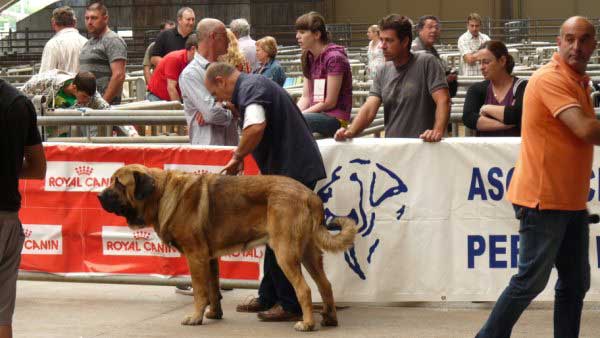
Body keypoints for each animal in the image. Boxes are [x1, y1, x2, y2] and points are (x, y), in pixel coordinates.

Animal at [98, 165, 356, 332]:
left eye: (119, 183)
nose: (99, 196)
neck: (161, 195)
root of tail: (310, 195)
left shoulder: (196, 257)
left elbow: (200, 291)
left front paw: (195, 317)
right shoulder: (209, 259)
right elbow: (213, 289)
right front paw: (214, 314)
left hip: (285, 253)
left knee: (304, 289)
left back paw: (307, 323)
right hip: (308, 253)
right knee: (325, 285)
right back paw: (330, 319)